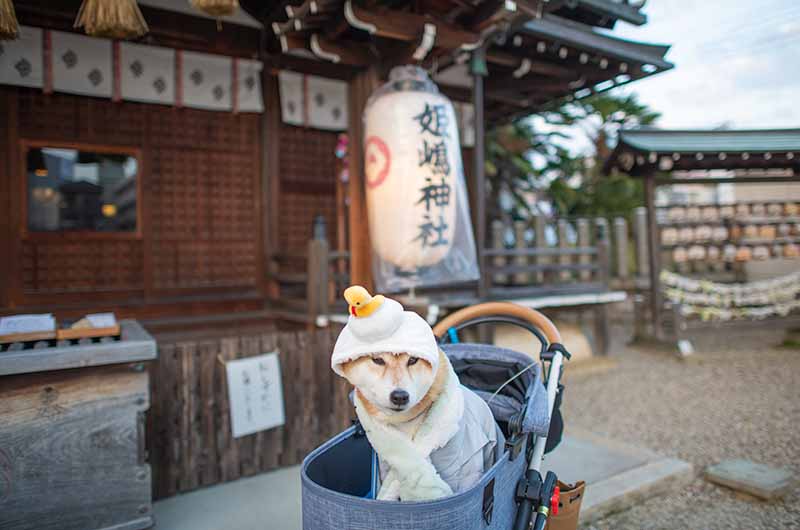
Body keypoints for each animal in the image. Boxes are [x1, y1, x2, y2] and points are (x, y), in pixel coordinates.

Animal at [332, 284, 500, 500]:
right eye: (377, 360)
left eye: (413, 360)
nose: (400, 396)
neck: (406, 426)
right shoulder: (386, 467)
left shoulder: (465, 471)